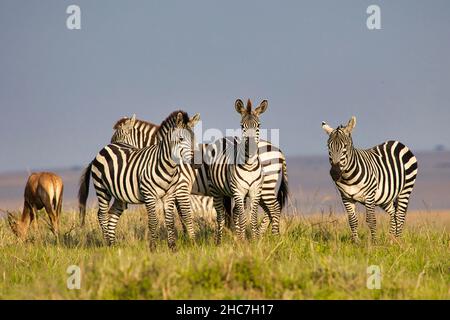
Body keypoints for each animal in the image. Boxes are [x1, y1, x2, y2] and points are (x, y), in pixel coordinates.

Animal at [78, 111, 200, 251]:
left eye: (193, 138)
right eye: (181, 139)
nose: (197, 163)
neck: (168, 166)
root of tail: (101, 151)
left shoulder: (170, 195)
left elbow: (170, 221)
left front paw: (173, 247)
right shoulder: (151, 195)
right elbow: (154, 221)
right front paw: (153, 248)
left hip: (120, 195)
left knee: (112, 214)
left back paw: (113, 245)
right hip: (101, 189)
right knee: (102, 214)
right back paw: (107, 243)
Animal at [108, 110, 288, 235]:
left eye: (116, 138)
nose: (110, 149)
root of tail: (278, 150)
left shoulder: (180, 188)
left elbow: (185, 216)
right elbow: (181, 216)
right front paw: (185, 237)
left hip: (265, 186)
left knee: (274, 210)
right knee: (269, 212)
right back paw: (262, 236)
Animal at [207, 99, 268, 241]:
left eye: (258, 125)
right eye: (242, 126)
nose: (251, 146)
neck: (249, 166)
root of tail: (223, 138)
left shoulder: (255, 192)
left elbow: (252, 218)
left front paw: (254, 240)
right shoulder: (238, 191)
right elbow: (243, 219)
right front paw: (243, 240)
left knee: (234, 214)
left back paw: (236, 238)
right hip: (216, 190)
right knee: (221, 217)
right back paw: (219, 241)